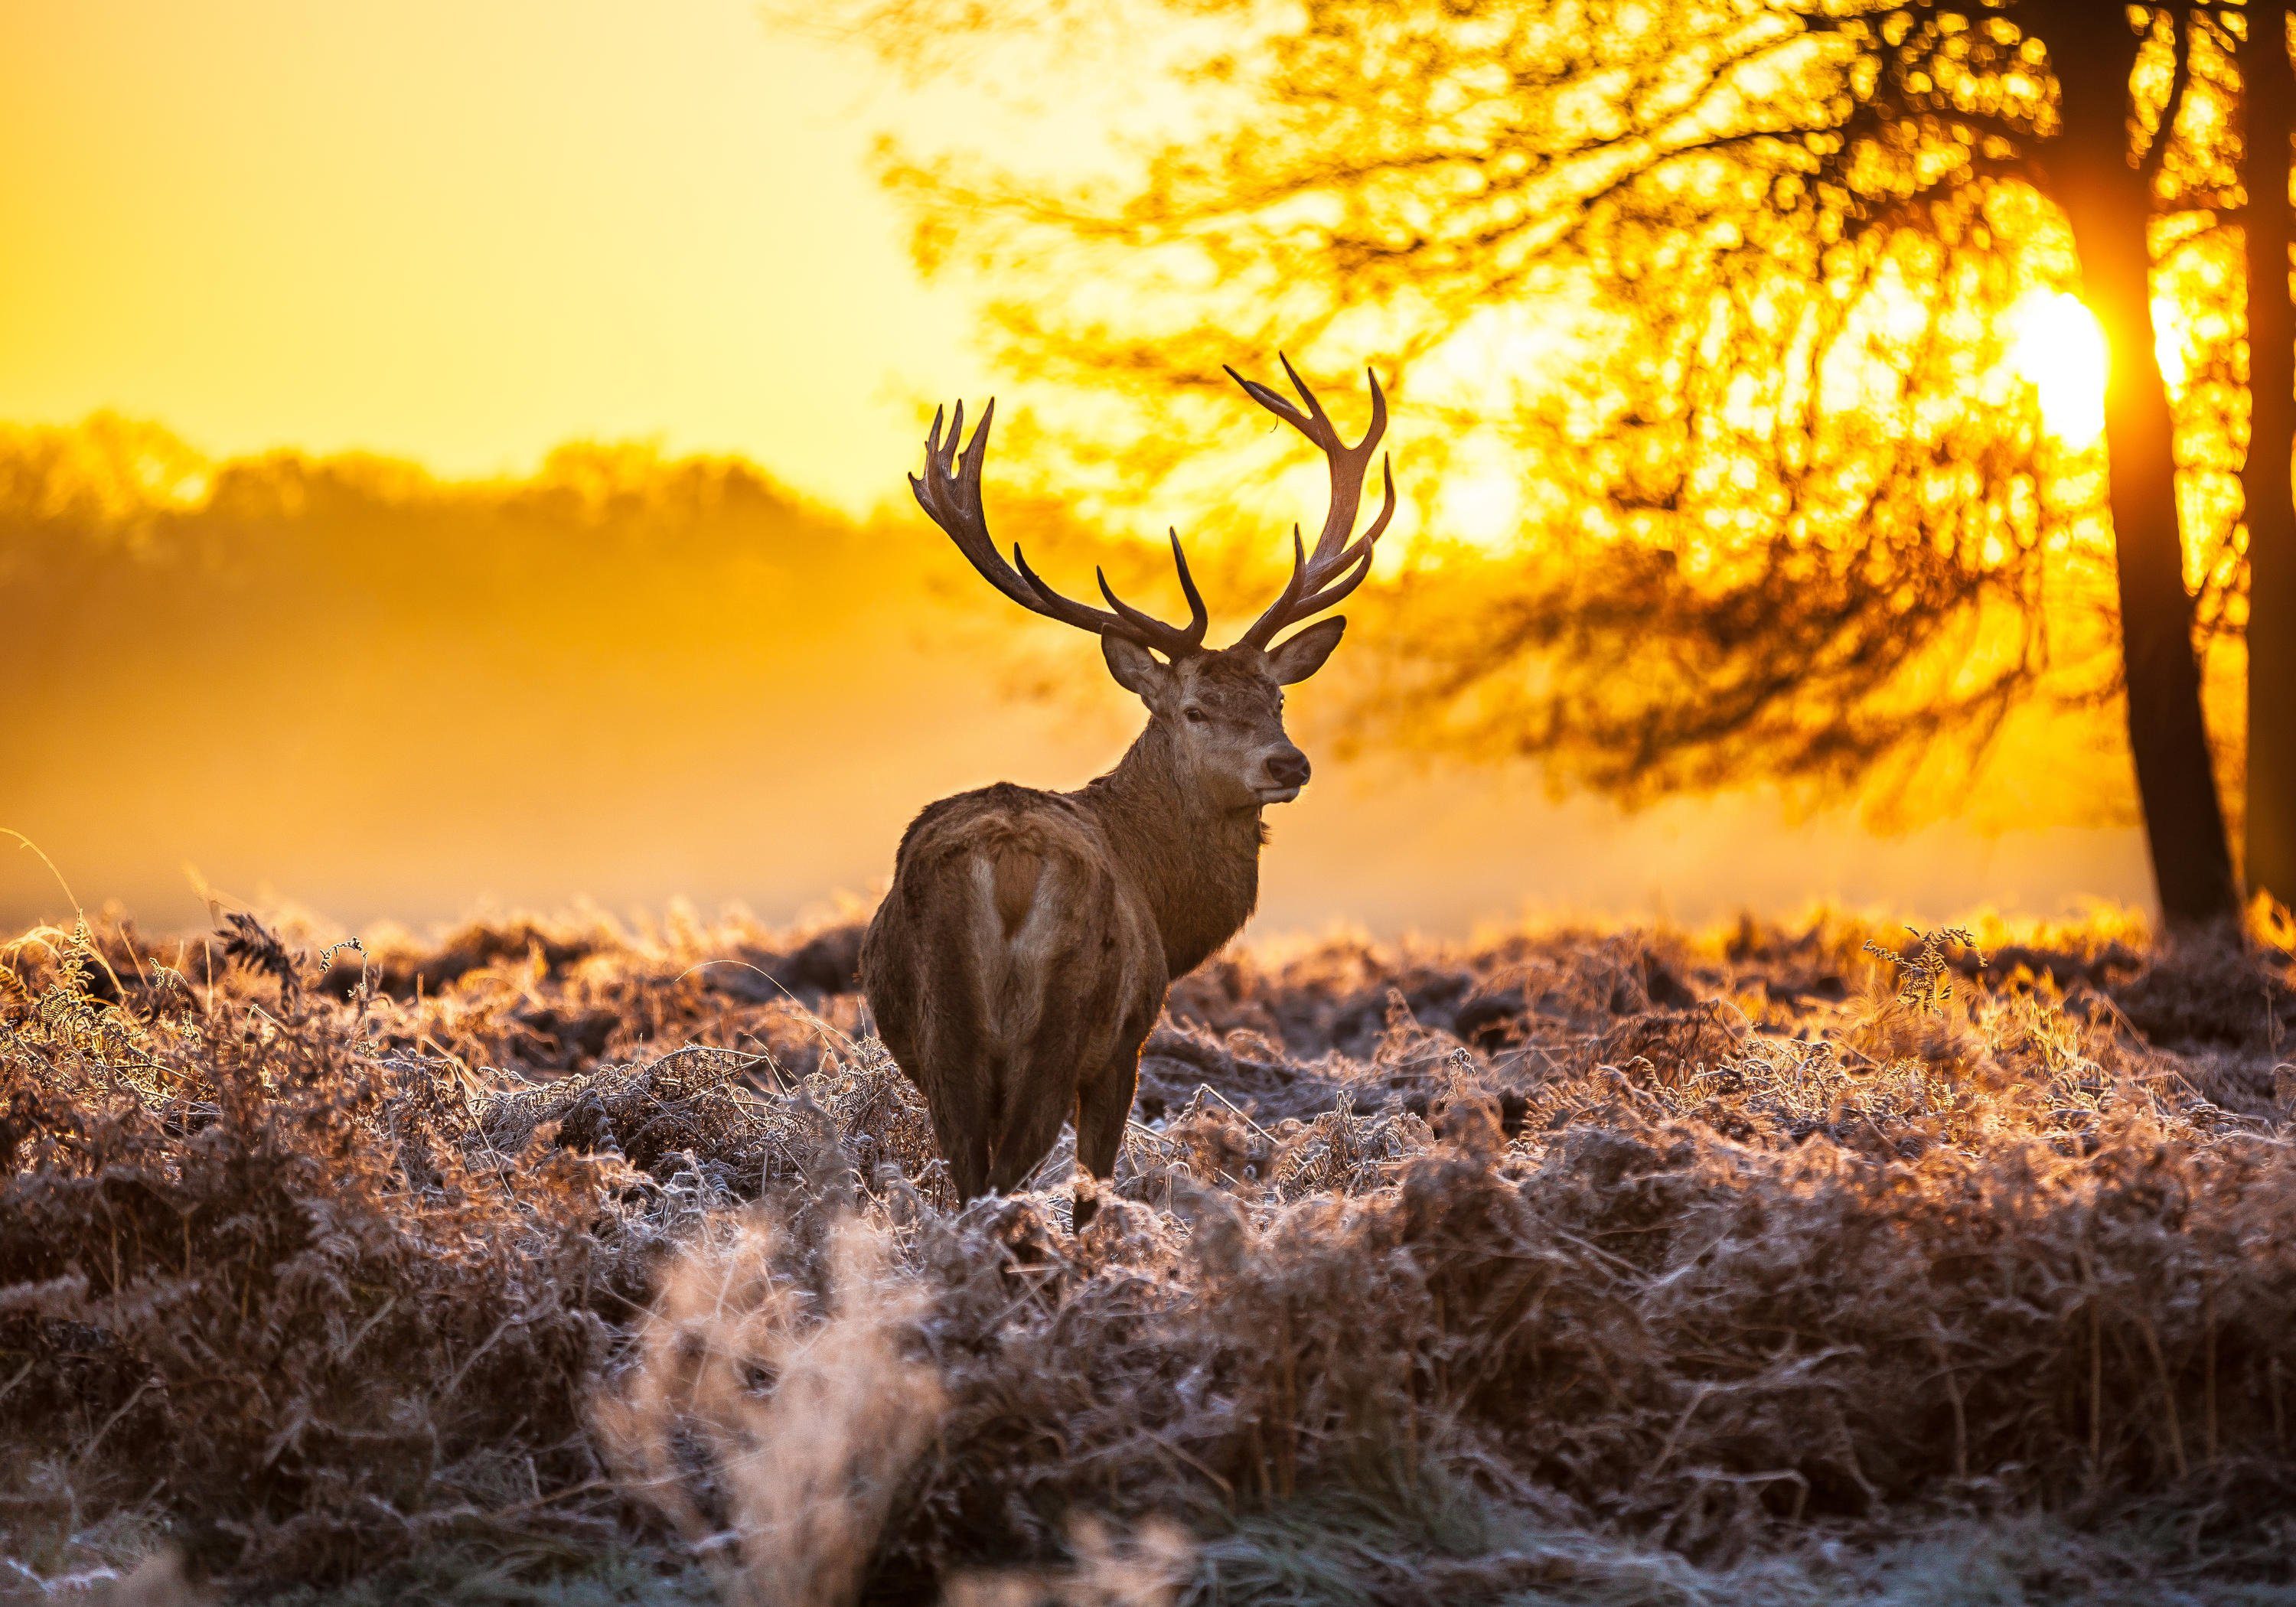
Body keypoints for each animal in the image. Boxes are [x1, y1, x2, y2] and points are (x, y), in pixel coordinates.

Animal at [860, 359, 1397, 1229]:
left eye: (1277, 698)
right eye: (1195, 708)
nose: (1289, 765)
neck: (1168, 907)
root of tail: (1007, 868)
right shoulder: (1128, 1041)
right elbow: (1095, 1187)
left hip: (948, 1037)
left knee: (971, 1177)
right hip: (1068, 1021)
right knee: (1010, 1177)